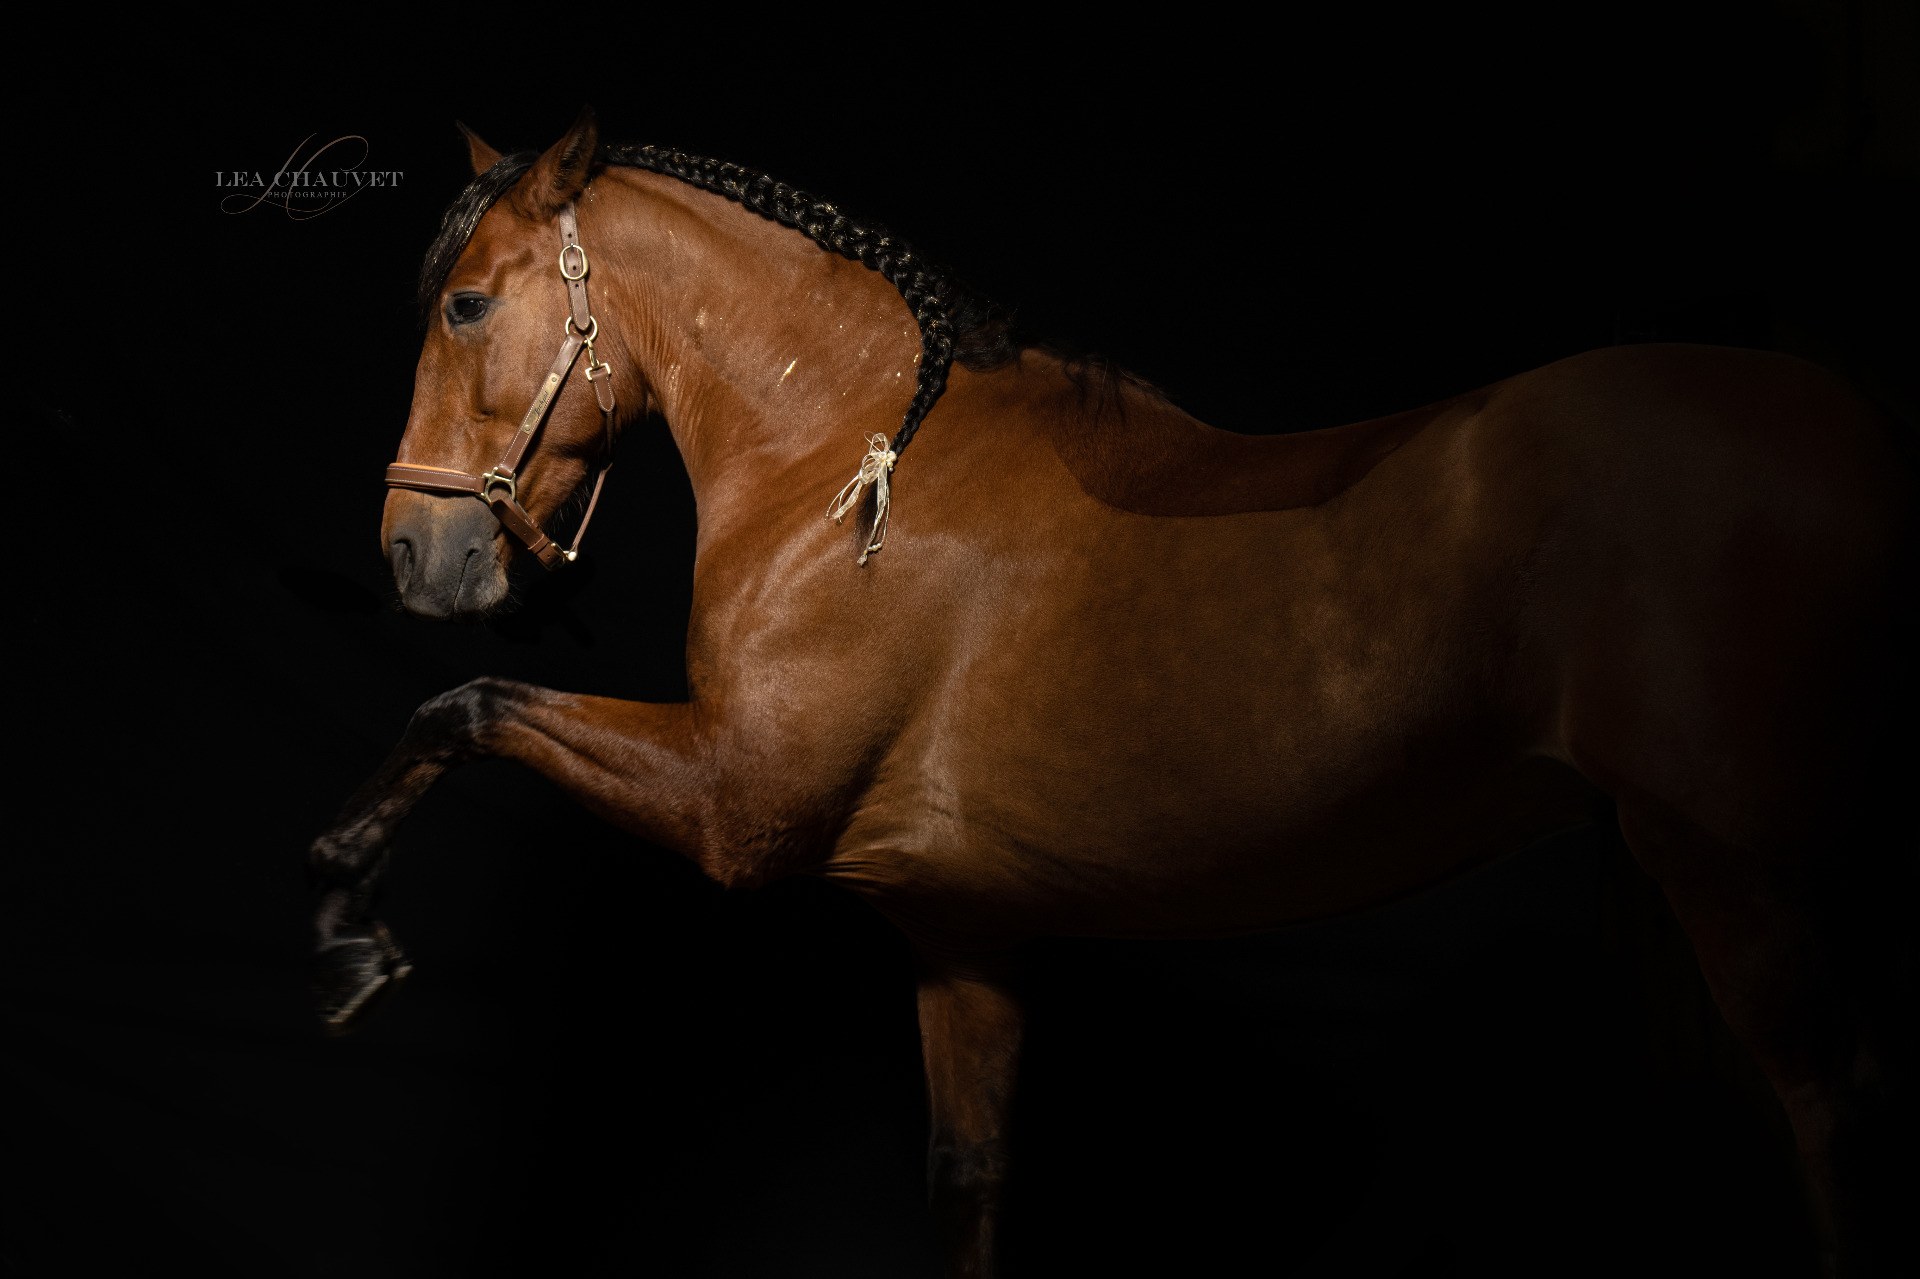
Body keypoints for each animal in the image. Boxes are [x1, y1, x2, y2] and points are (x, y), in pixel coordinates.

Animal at [309, 110, 1915, 1277]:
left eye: (467, 304)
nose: (413, 554)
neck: (856, 464)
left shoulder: (733, 807)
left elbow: (466, 705)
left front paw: (347, 918)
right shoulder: (962, 935)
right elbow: (968, 1187)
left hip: (1735, 870)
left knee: (1833, 1106)